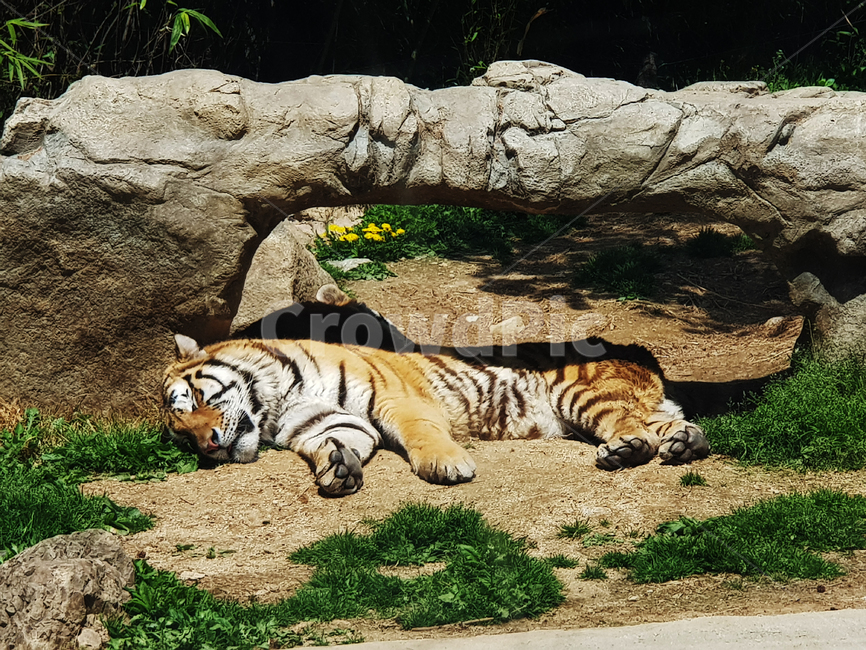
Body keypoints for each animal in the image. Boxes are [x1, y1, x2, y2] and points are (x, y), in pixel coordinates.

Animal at [162, 331, 709, 496]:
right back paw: (686, 443)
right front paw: (336, 467)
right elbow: (338, 439)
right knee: (670, 424)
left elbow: (421, 432)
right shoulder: (324, 420)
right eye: (183, 435)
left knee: (633, 429)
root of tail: (638, 351)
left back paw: (626, 450)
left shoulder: (396, 399)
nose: (209, 447)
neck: (273, 400)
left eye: (198, 401)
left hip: (582, 397)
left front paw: (447, 466)